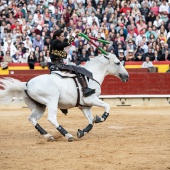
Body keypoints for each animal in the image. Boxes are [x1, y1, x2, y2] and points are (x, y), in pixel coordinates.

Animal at [0, 53, 128, 142]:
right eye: (117, 63)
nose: (126, 76)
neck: (92, 75)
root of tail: (26, 84)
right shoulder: (91, 99)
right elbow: (107, 106)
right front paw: (101, 118)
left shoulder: (84, 106)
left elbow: (91, 121)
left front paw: (81, 132)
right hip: (52, 101)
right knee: (51, 118)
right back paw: (68, 135)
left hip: (40, 106)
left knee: (32, 119)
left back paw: (49, 135)